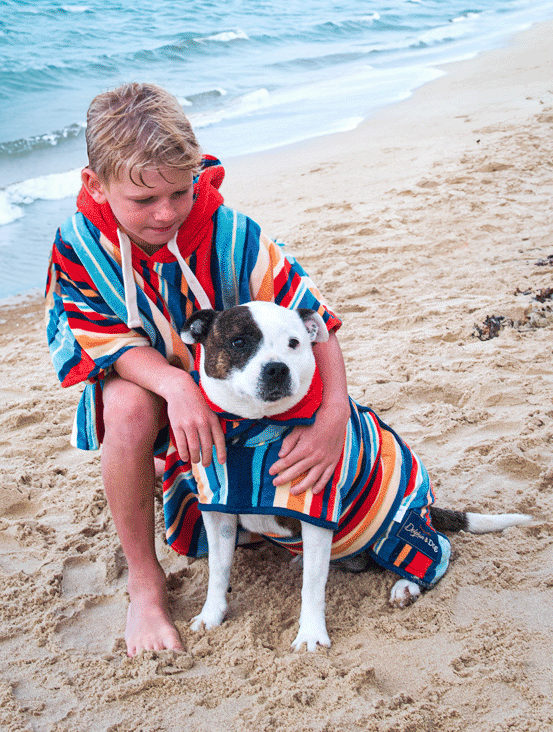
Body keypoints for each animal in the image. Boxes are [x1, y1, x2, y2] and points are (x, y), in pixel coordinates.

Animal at [181, 302, 532, 652]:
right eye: (239, 342)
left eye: (294, 343)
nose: (277, 369)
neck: (255, 431)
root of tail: (427, 512)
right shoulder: (218, 512)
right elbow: (218, 570)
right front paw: (211, 615)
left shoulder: (316, 511)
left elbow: (312, 586)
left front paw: (310, 634)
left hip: (396, 529)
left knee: (436, 552)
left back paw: (406, 586)